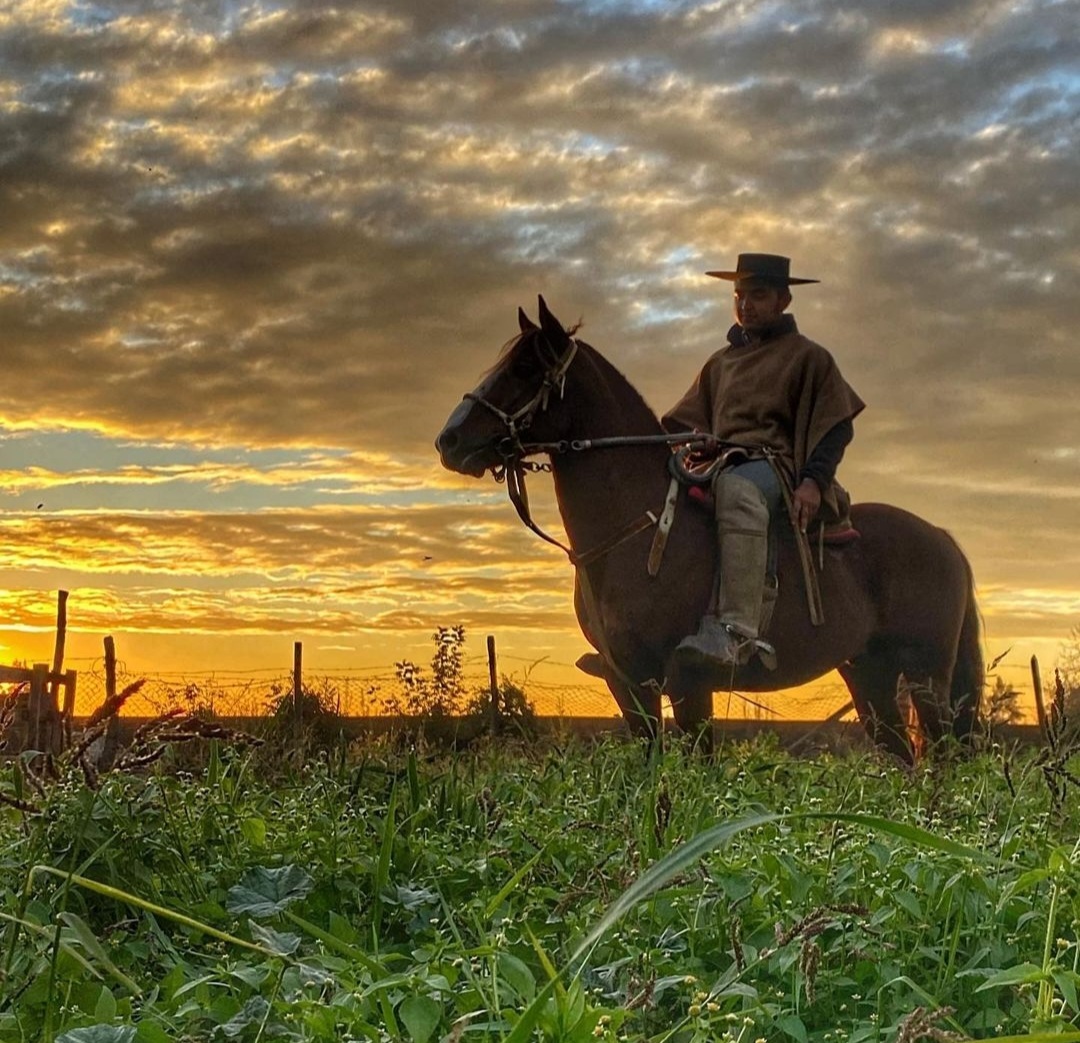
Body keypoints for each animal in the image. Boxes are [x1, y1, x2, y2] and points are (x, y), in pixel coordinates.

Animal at [434, 293, 984, 760]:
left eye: (526, 368)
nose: (450, 440)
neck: (638, 529)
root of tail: (942, 539)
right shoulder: (627, 683)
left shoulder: (687, 683)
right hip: (870, 675)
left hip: (927, 676)